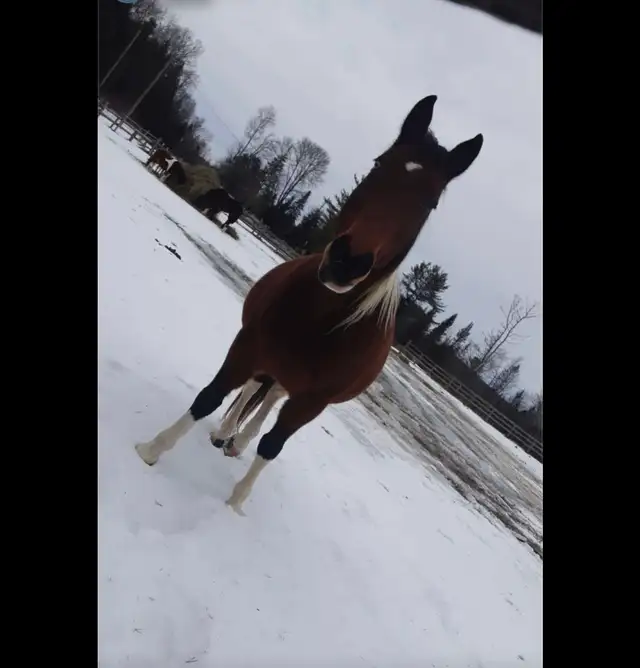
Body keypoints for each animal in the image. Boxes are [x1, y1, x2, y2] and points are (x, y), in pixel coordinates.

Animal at [135, 95, 483, 515]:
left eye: (430, 202)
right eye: (378, 164)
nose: (347, 262)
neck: (322, 321)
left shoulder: (313, 402)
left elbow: (272, 445)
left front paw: (235, 503)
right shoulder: (248, 347)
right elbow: (209, 397)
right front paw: (151, 449)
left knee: (270, 400)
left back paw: (237, 441)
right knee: (255, 389)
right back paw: (224, 433)